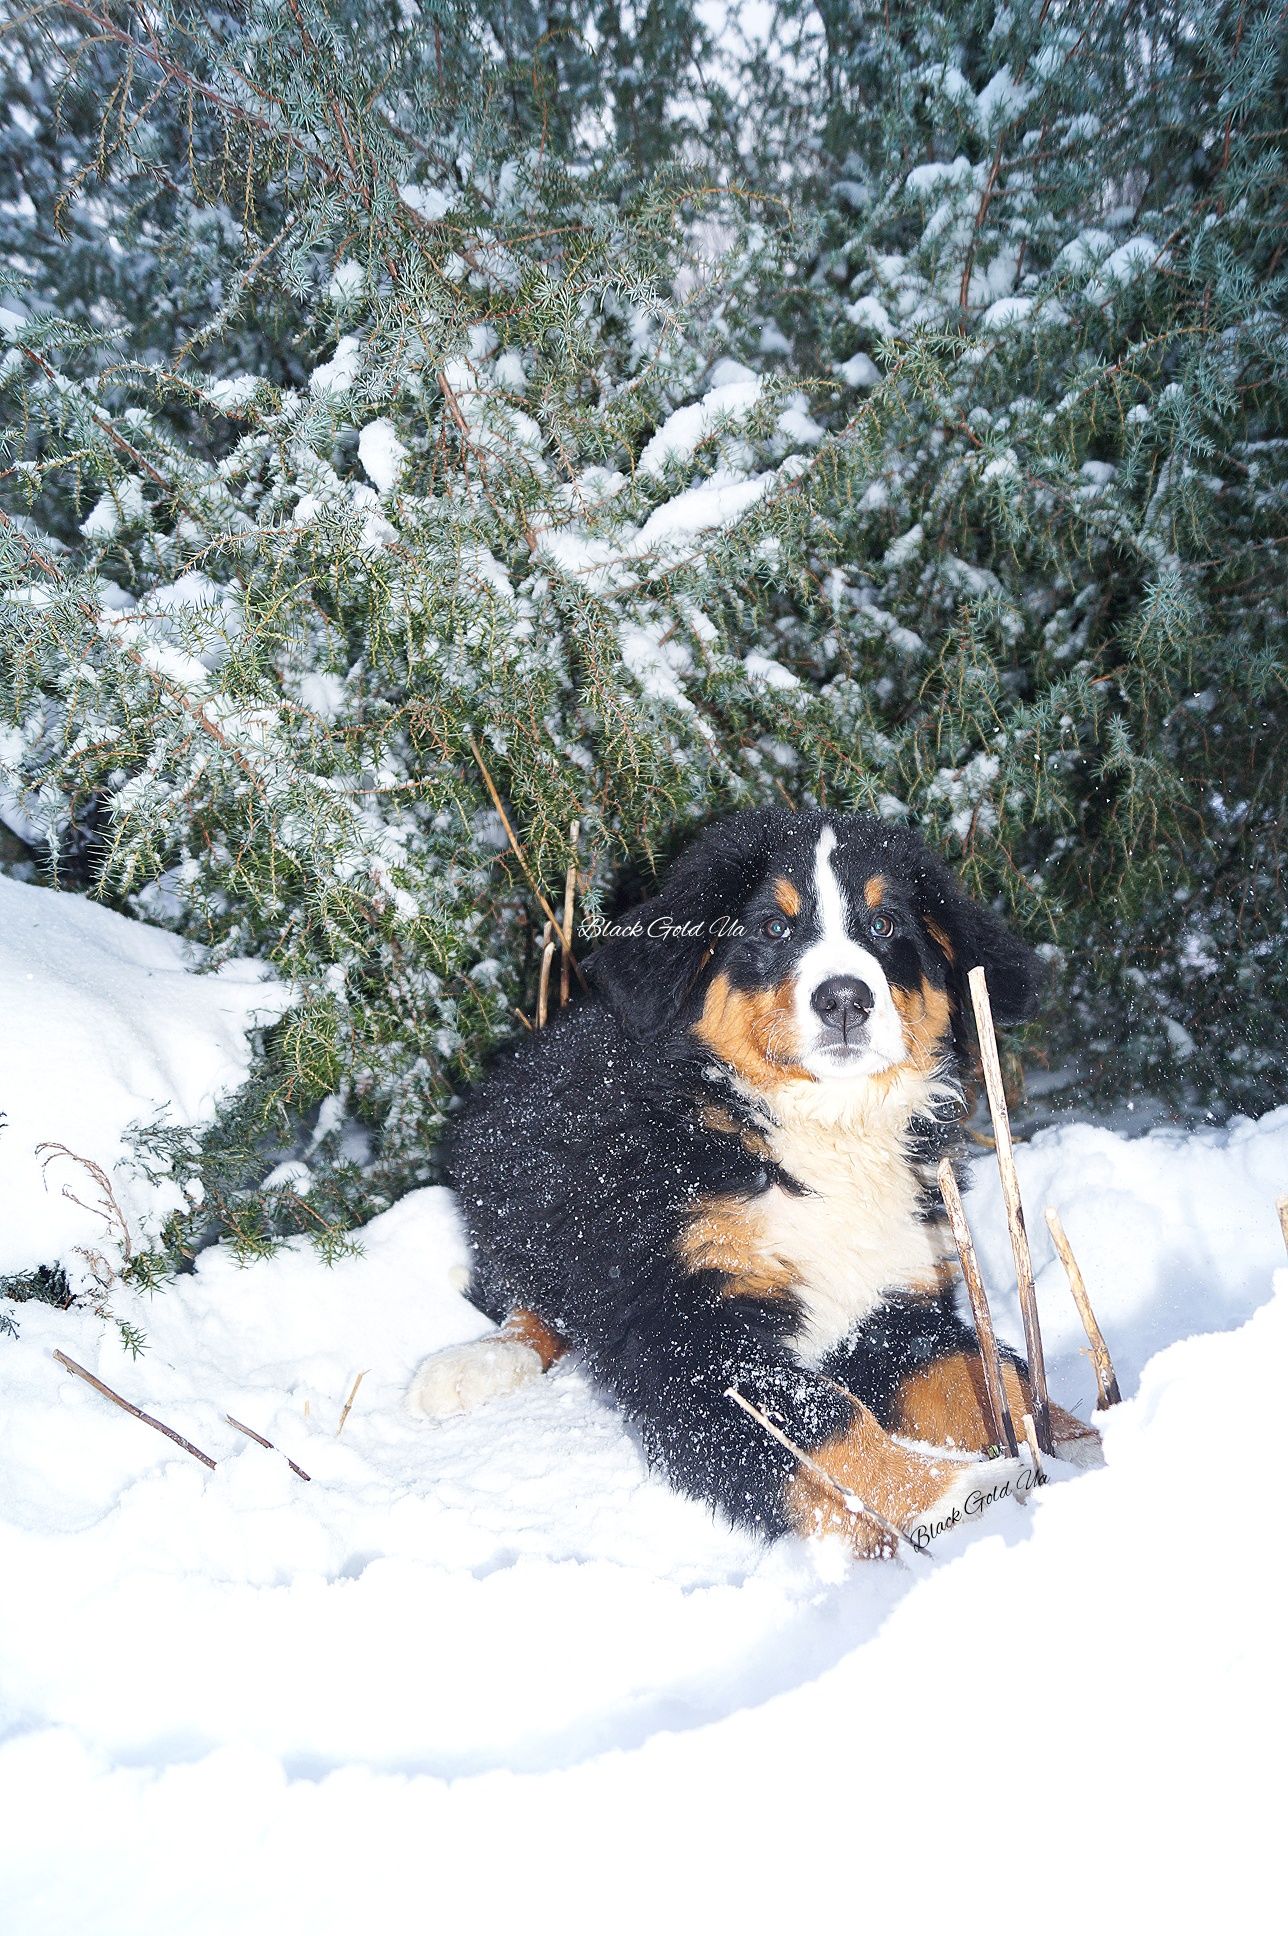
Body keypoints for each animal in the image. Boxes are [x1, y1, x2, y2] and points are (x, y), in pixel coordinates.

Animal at [408, 805, 1092, 1556]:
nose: (845, 998)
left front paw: (1079, 1447)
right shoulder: (688, 1324)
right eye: (772, 928)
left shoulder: (897, 1298)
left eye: (885, 925)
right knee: (530, 1303)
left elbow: (981, 1374)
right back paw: (468, 1367)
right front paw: (948, 1498)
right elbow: (820, 1423)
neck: (824, 1128)